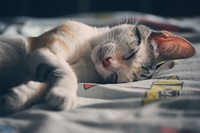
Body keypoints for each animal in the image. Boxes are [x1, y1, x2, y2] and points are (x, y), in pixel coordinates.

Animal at [0, 20, 195, 113]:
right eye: (132, 53)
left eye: (114, 77)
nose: (107, 62)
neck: (88, 54)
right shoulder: (44, 49)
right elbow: (66, 71)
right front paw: (64, 93)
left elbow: (50, 79)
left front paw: (20, 96)